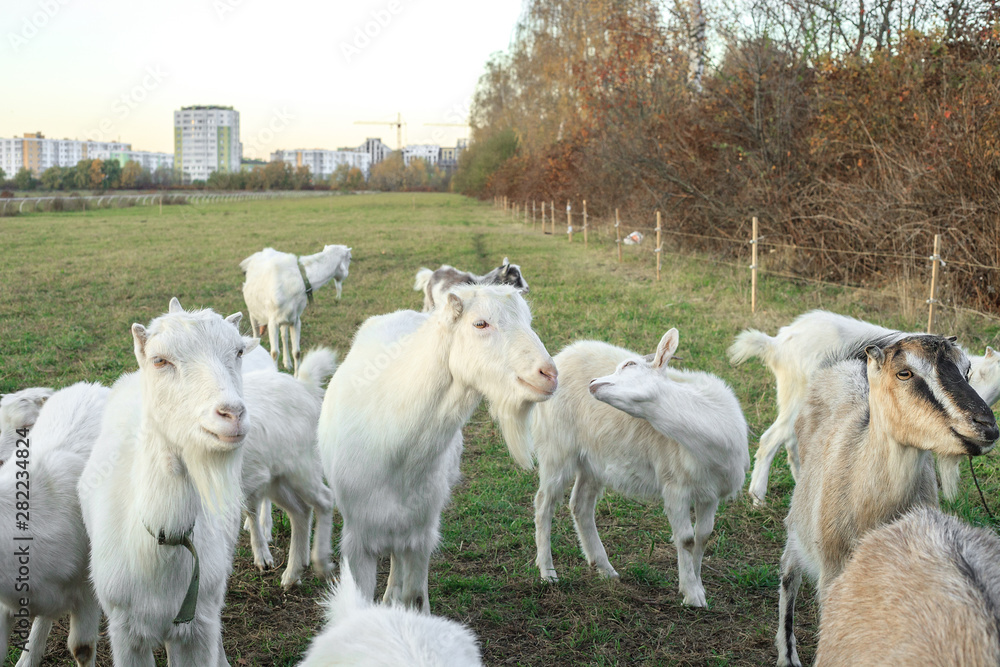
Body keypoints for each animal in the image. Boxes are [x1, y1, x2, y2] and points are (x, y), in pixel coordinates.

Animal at [240, 245, 351, 375]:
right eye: (350, 258)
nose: (346, 274)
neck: (300, 281)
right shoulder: (272, 322)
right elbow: (274, 353)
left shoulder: (296, 320)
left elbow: (297, 352)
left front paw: (297, 375)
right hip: (253, 313)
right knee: (255, 334)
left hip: (285, 318)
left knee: (284, 336)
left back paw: (287, 363)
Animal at [241, 347, 337, 589]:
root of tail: (304, 387)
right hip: (276, 478)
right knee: (300, 510)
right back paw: (293, 573)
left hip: (300, 468)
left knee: (325, 499)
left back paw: (320, 562)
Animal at [318, 284, 557, 611]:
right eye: (480, 323)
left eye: (528, 320)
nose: (549, 374)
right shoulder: (357, 537)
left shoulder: (422, 532)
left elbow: (416, 598)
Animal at [534, 329, 749, 607]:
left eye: (629, 364)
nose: (593, 382)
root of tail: (563, 355)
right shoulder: (674, 486)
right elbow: (686, 539)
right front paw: (691, 593)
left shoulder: (709, 493)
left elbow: (703, 537)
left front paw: (698, 586)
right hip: (557, 447)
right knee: (544, 505)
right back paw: (548, 573)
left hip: (593, 459)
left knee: (580, 505)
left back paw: (605, 568)